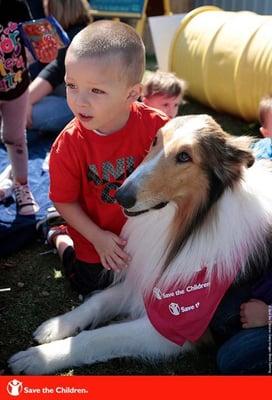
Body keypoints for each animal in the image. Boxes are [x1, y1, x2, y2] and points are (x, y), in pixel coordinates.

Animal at [8, 113, 272, 376]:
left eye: (185, 156)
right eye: (155, 140)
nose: (120, 196)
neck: (190, 225)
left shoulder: (176, 323)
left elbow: (98, 337)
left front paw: (37, 358)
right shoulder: (146, 276)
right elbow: (98, 301)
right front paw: (55, 325)